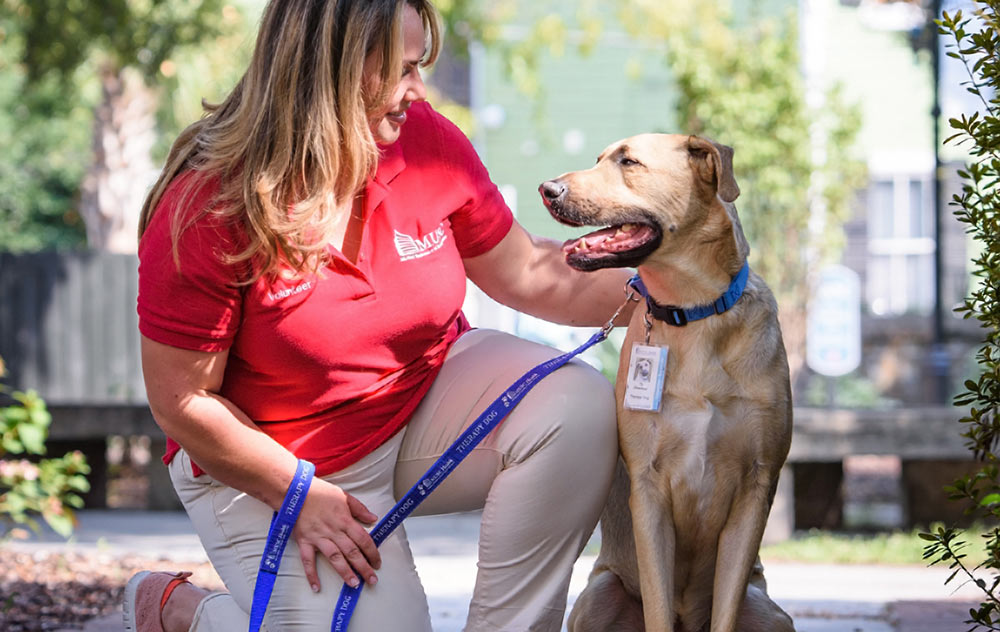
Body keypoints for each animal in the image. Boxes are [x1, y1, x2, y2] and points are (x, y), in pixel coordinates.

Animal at [540, 135, 796, 632]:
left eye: (629, 161)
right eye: (599, 159)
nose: (548, 189)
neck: (692, 312)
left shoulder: (756, 487)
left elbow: (726, 610)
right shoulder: (649, 489)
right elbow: (656, 605)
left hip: (770, 611)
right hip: (599, 593)